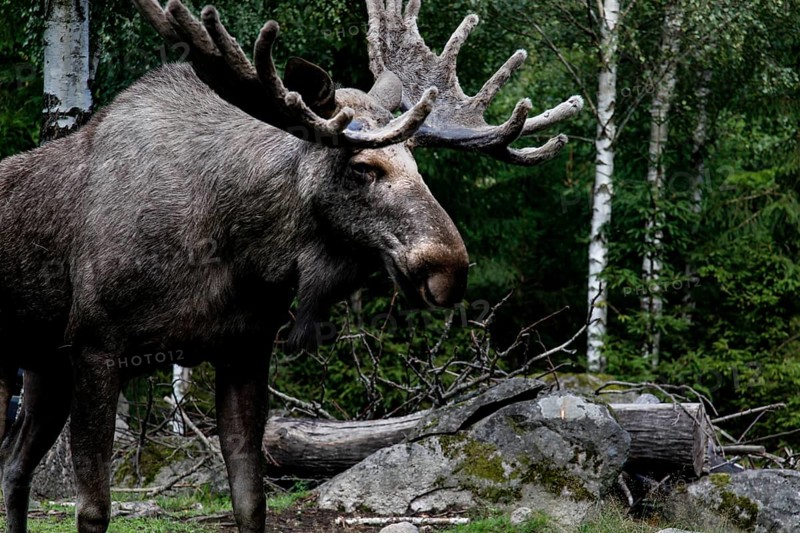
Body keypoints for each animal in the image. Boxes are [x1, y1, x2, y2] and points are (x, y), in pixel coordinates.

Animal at [0, 1, 582, 532]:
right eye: (362, 167)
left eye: (417, 164)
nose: (449, 268)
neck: (235, 255)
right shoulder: (96, 347)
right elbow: (93, 509)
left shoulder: (245, 349)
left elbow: (250, 500)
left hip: (43, 368)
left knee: (13, 469)